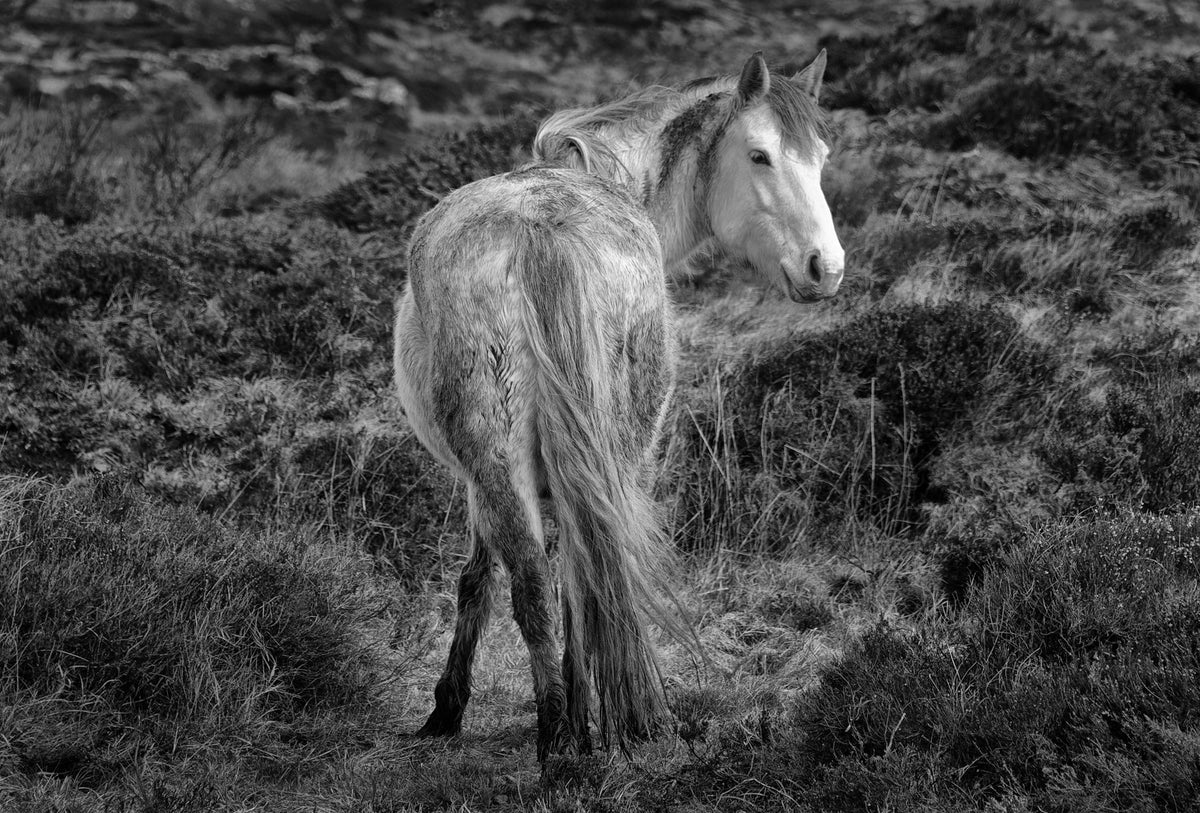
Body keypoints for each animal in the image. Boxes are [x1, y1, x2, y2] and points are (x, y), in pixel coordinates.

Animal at [393, 51, 844, 761]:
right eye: (761, 155)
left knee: (547, 589)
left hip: (516, 465)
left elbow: (481, 577)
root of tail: (540, 232)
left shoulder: (481, 481)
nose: (825, 267)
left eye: (822, 156)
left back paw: (563, 741)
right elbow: (487, 578)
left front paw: (450, 707)